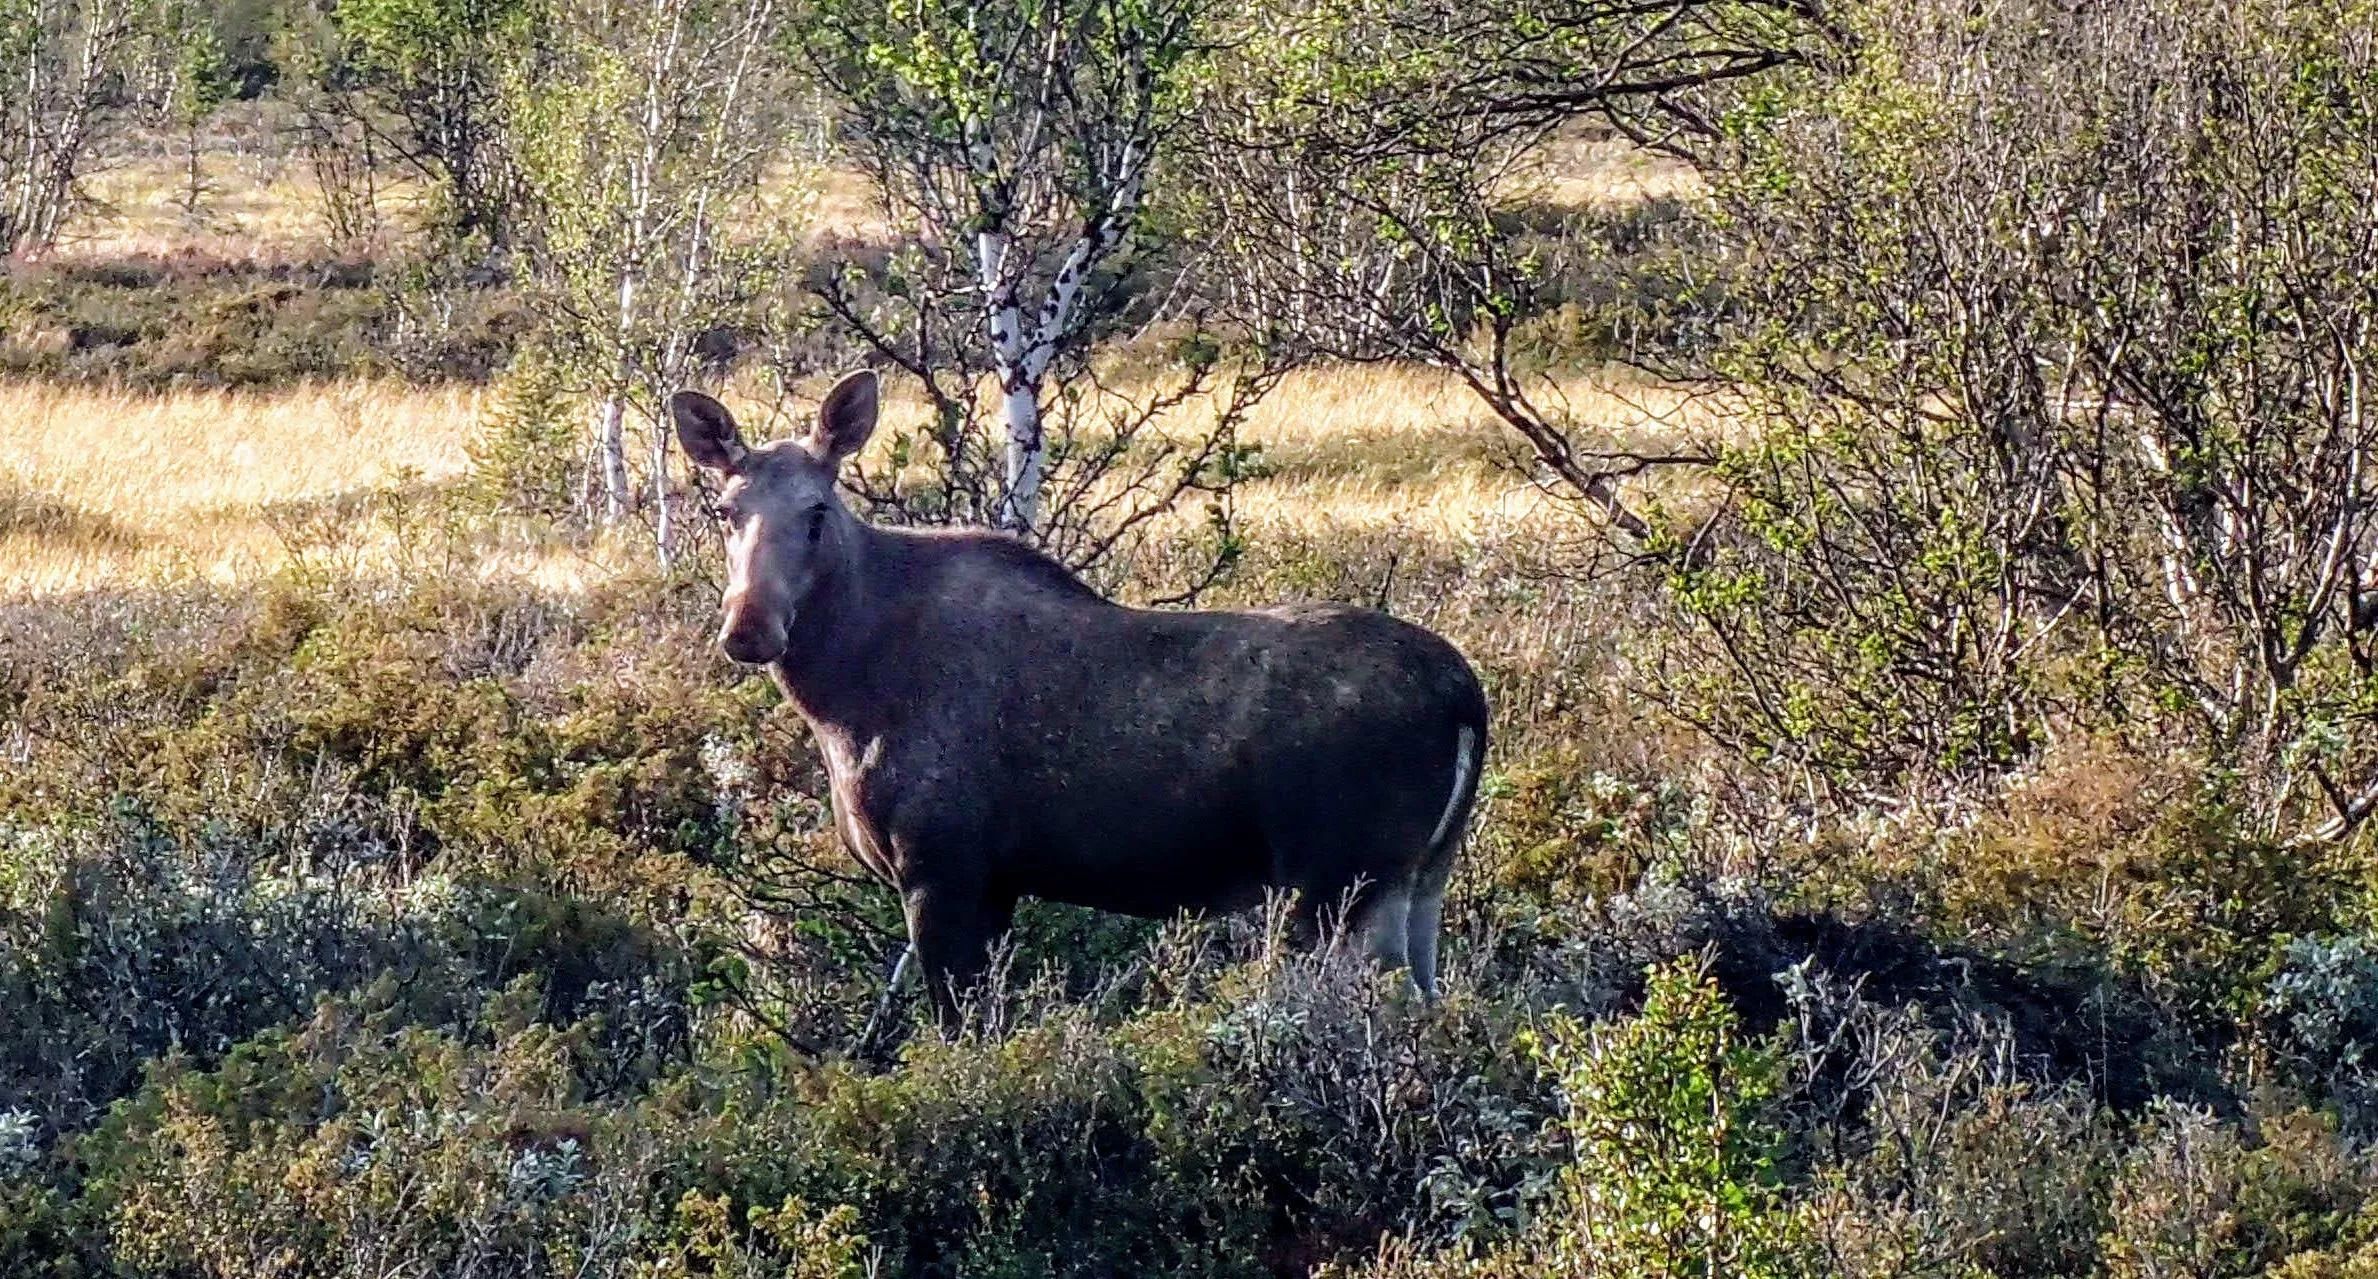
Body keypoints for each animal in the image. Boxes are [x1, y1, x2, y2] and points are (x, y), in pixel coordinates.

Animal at [673, 369, 1488, 1029]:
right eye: (724, 510)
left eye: (816, 511)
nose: (748, 628)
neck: (840, 700)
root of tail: (1468, 700)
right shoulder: (996, 884)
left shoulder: (943, 868)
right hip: (1423, 875)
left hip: (1340, 880)